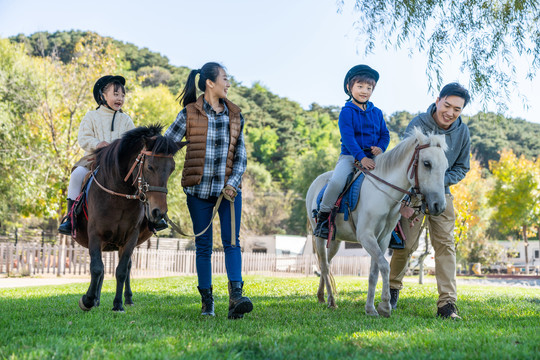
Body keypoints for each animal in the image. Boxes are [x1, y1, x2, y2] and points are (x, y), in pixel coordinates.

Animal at [74, 125, 187, 310]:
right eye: (150, 166)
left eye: (172, 169)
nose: (159, 212)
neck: (118, 197)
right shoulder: (96, 235)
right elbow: (97, 268)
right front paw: (88, 300)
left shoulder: (130, 238)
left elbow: (121, 270)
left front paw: (118, 304)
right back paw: (96, 300)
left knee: (126, 267)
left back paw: (127, 298)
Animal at [306, 128, 450, 316]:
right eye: (427, 163)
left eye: (446, 166)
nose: (439, 206)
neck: (382, 193)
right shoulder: (366, 236)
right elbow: (385, 266)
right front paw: (385, 306)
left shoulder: (382, 238)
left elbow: (374, 272)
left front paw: (371, 308)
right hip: (319, 238)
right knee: (324, 266)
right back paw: (331, 301)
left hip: (335, 240)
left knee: (328, 265)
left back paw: (321, 296)